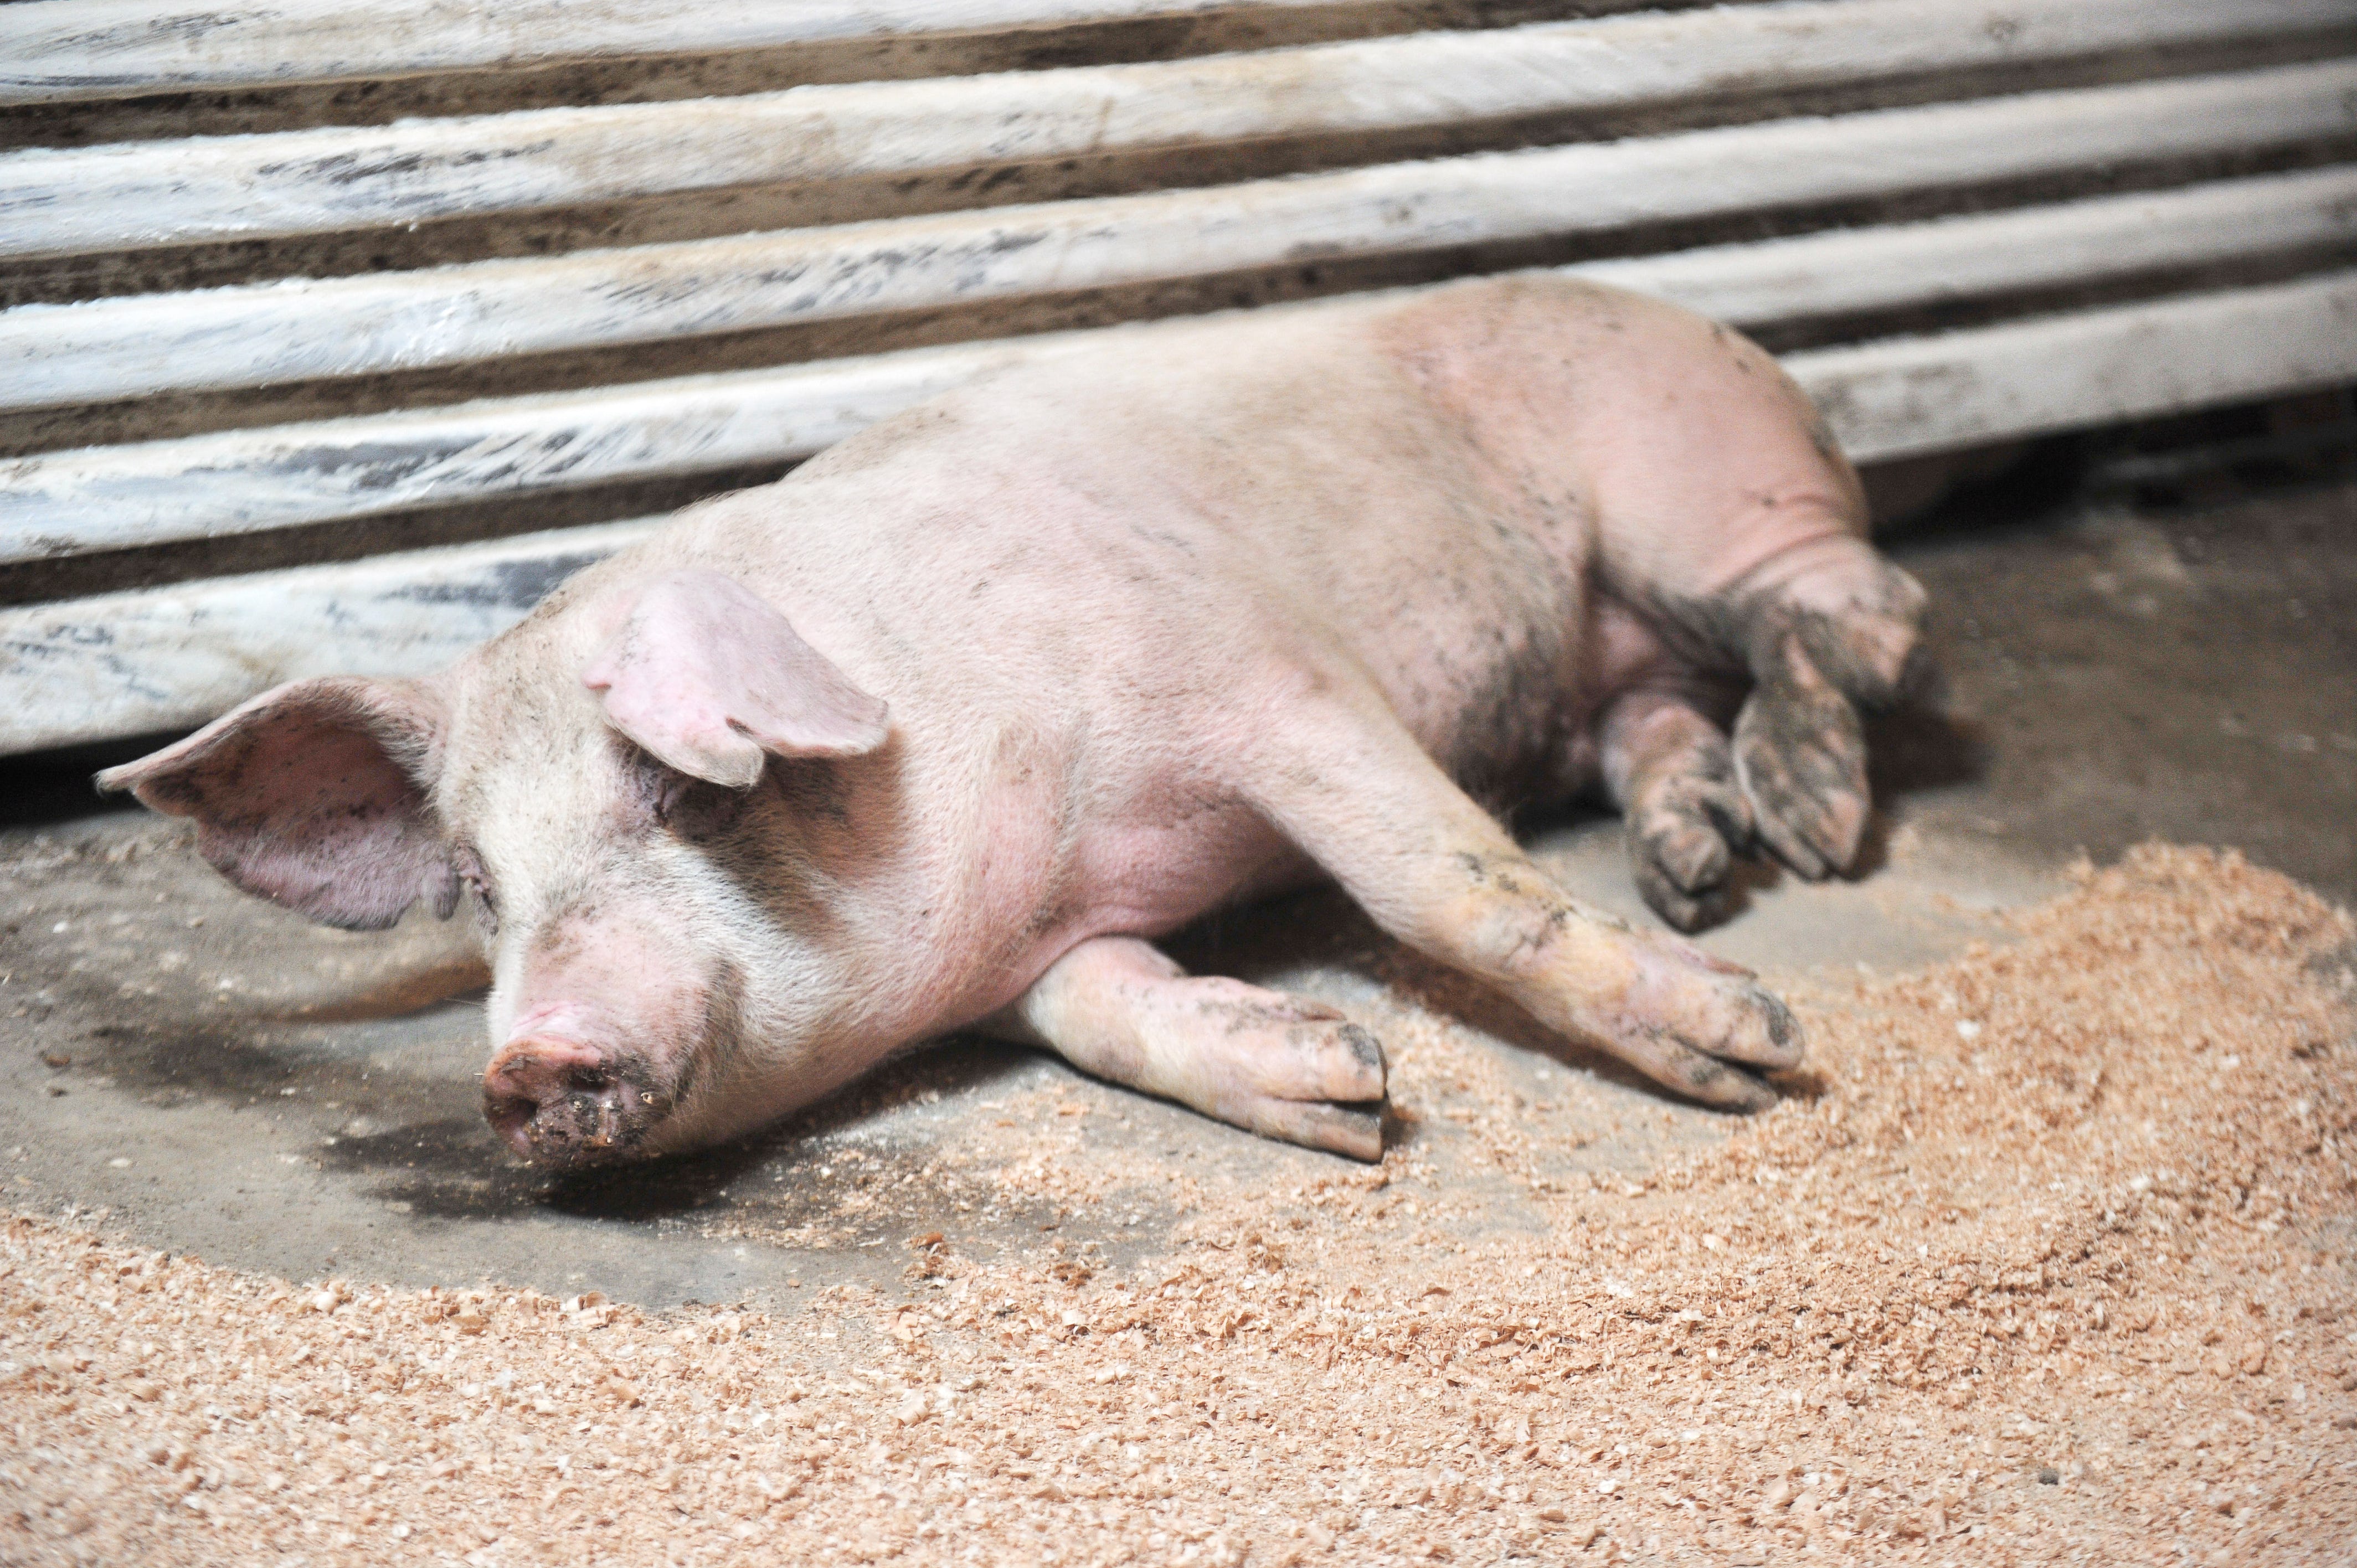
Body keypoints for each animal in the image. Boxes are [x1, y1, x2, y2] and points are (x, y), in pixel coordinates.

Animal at [100, 275, 1928, 1169]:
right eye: (480, 883)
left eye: (684, 795)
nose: (529, 1054)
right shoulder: (1040, 959)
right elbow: (1114, 1016)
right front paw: (1337, 1089)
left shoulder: (1274, 678)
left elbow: (1445, 889)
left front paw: (1753, 1050)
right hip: (1621, 646)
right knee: (1659, 715)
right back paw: (1703, 858)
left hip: (1710, 495)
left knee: (1869, 615)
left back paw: (1811, 825)